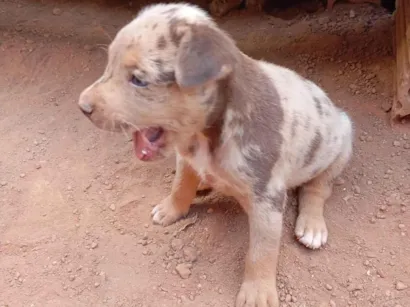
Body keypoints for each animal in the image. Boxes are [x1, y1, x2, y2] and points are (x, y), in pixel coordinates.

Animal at [78, 3, 354, 306]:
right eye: (109, 65)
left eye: (139, 80)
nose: (82, 107)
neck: (205, 137)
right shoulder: (186, 159)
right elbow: (179, 187)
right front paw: (170, 209)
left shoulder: (267, 197)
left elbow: (262, 251)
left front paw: (257, 293)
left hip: (341, 141)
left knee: (318, 188)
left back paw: (312, 226)